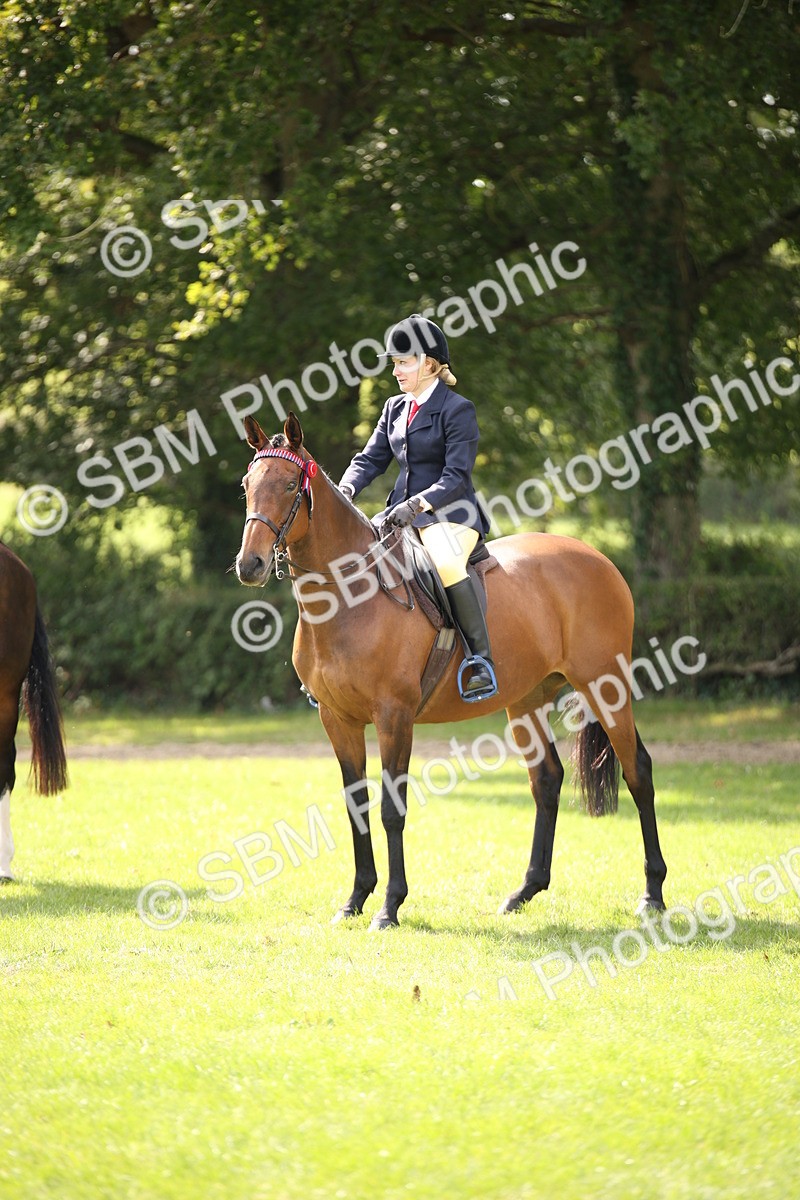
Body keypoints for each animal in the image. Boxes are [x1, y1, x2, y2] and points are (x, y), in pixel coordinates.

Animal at [235, 412, 667, 930]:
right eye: (246, 486)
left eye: (287, 485)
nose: (250, 565)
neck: (348, 598)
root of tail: (598, 558)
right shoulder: (337, 720)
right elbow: (357, 806)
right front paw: (354, 901)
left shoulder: (394, 717)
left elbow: (391, 809)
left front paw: (389, 908)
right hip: (526, 700)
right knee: (546, 780)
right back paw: (523, 892)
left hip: (606, 686)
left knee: (637, 771)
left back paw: (652, 895)